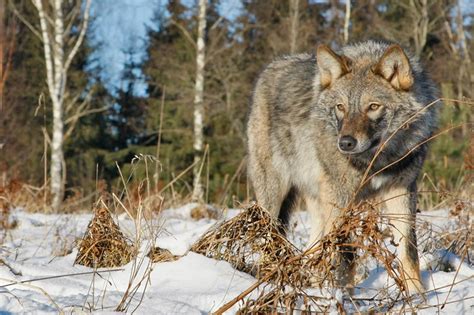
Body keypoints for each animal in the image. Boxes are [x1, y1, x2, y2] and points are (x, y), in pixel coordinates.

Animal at [246, 40, 438, 296]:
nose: (345, 143)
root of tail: (269, 69)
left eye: (373, 106)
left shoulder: (402, 191)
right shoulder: (341, 198)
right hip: (275, 198)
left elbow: (408, 250)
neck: (376, 160)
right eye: (340, 107)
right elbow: (345, 252)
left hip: (318, 201)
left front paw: (417, 295)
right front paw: (342, 295)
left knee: (314, 247)